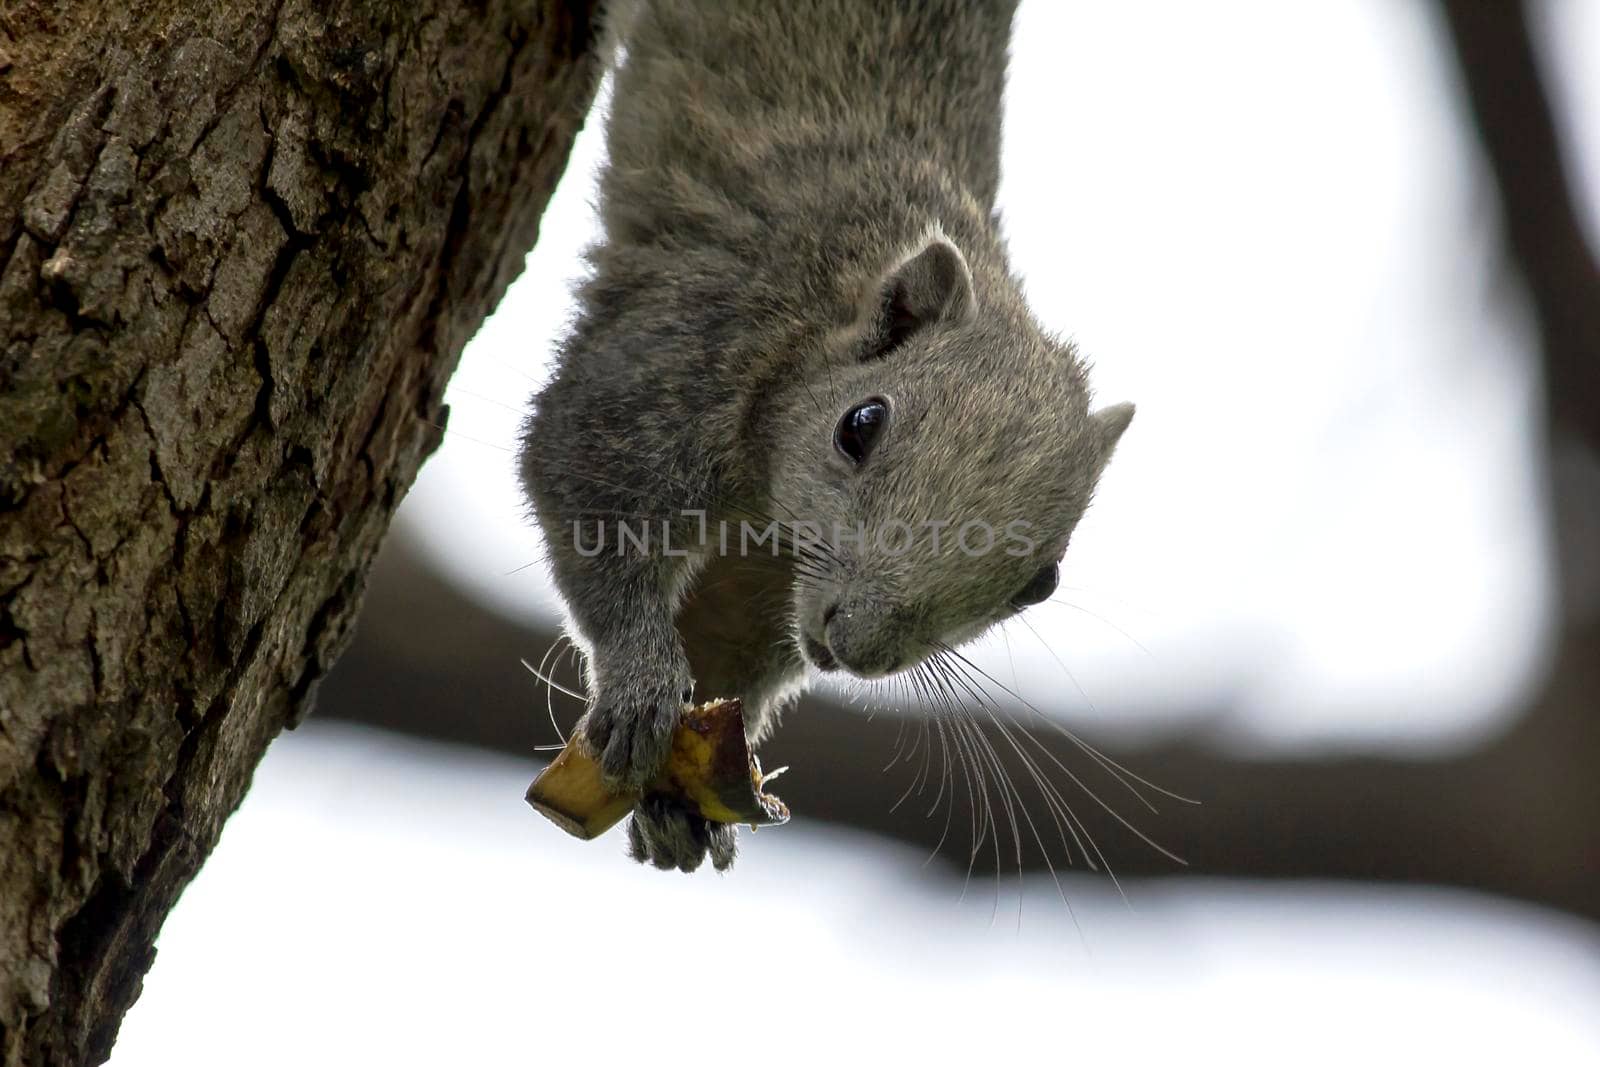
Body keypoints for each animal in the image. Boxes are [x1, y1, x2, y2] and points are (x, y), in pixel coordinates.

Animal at [518, 0, 1132, 876]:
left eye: (1040, 584)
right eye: (860, 425)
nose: (856, 648)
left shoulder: (766, 572)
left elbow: (728, 639)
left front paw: (679, 796)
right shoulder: (689, 347)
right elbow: (581, 475)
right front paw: (639, 680)